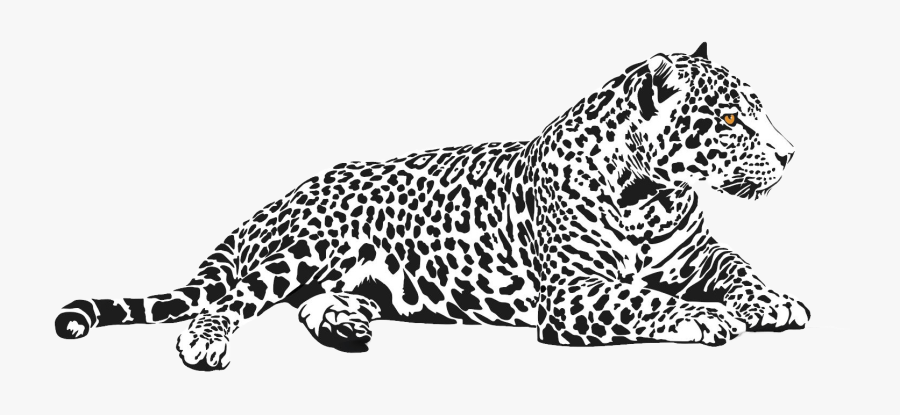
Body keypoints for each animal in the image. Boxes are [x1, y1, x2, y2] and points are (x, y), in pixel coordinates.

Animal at [55, 43, 809, 371]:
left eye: (759, 111)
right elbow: (640, 300)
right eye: (733, 121)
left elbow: (739, 266)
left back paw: (346, 323)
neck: (650, 194)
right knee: (231, 299)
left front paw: (774, 301)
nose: (791, 153)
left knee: (306, 302)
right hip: (298, 251)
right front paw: (706, 317)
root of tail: (287, 190)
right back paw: (206, 340)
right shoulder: (573, 294)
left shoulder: (697, 254)